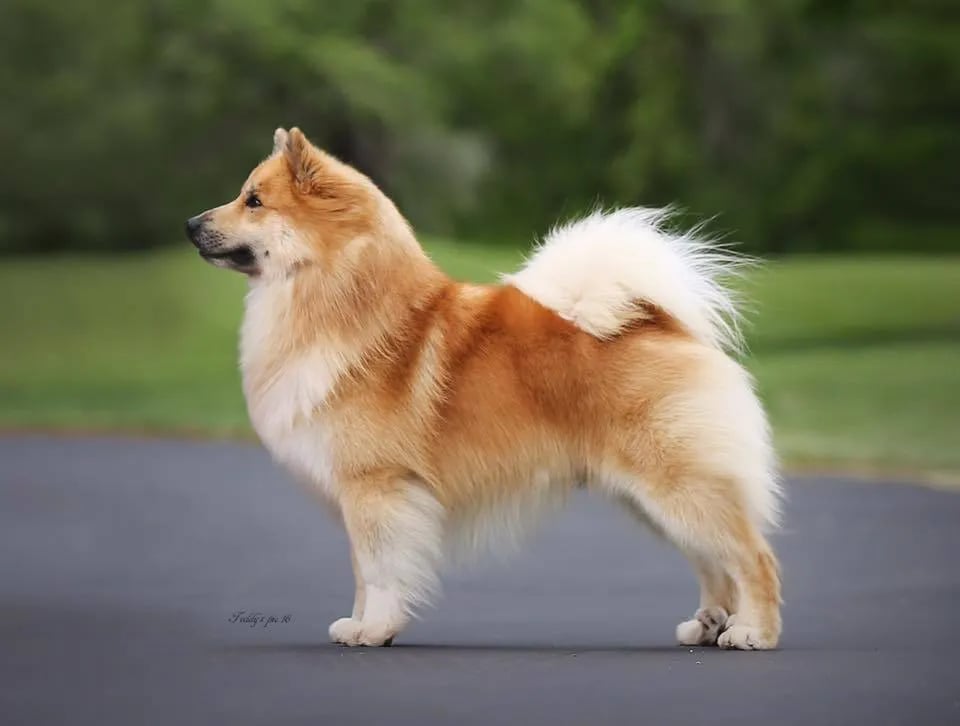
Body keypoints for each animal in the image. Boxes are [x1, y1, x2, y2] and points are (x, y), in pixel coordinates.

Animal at [186, 128, 780, 652]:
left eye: (254, 201)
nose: (192, 223)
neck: (337, 297)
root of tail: (660, 322)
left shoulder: (376, 488)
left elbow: (379, 572)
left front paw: (373, 630)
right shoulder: (361, 496)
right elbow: (362, 571)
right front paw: (361, 625)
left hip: (676, 484)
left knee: (753, 558)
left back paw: (753, 633)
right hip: (648, 498)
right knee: (713, 563)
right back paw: (708, 625)